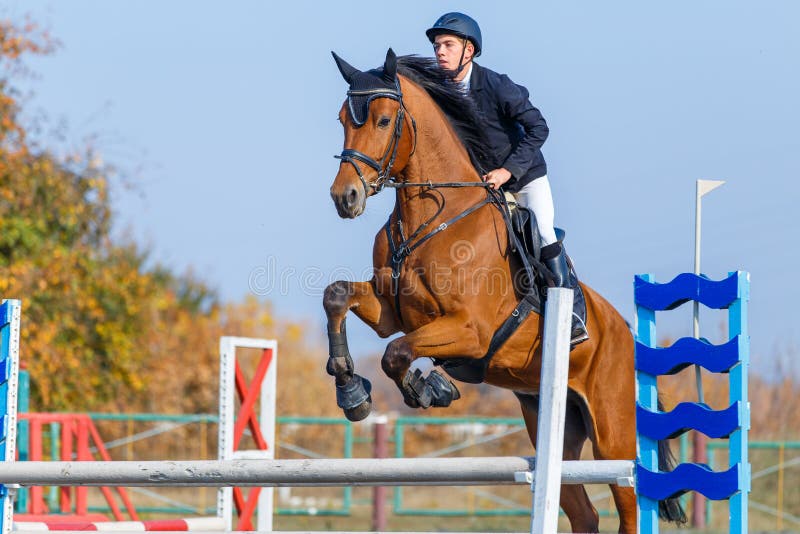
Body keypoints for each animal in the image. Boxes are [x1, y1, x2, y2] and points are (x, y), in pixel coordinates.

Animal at [322, 48, 684, 532]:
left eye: (382, 121)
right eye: (343, 118)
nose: (345, 197)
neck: (434, 215)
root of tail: (628, 333)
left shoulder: (469, 330)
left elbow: (396, 353)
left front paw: (429, 389)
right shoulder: (391, 311)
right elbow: (338, 296)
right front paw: (352, 391)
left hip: (615, 434)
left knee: (630, 508)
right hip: (554, 425)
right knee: (583, 512)